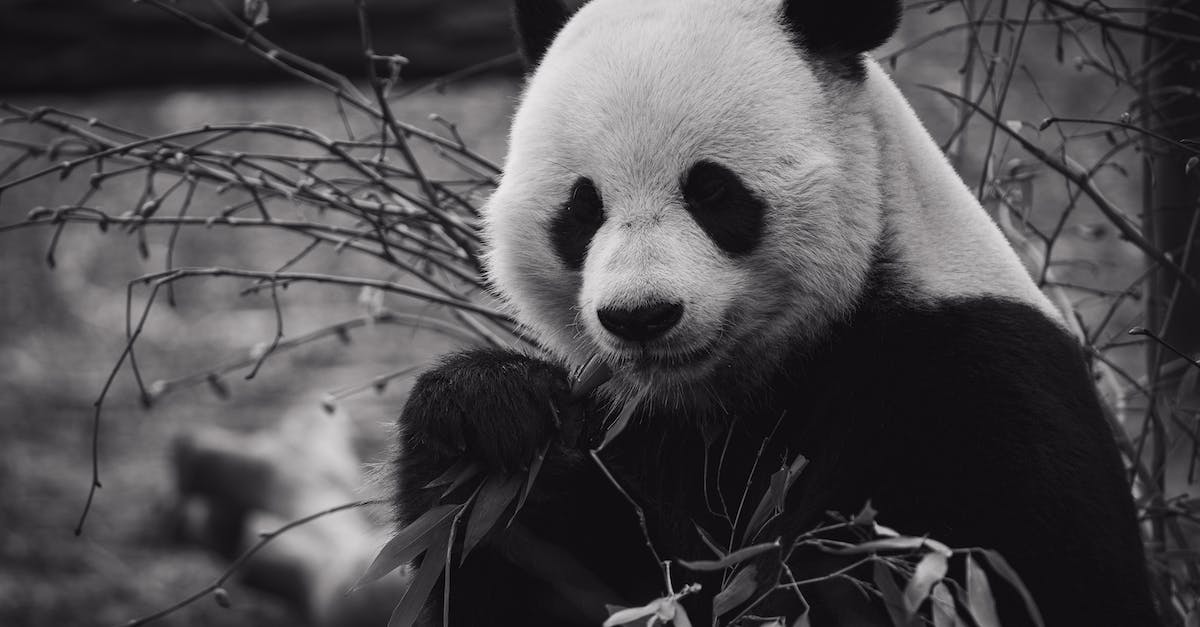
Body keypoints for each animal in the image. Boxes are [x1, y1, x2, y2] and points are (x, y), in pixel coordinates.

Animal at [394, 0, 1159, 625]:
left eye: (712, 191)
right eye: (582, 208)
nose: (641, 316)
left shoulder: (975, 389)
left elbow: (968, 576)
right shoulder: (643, 427)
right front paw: (491, 412)